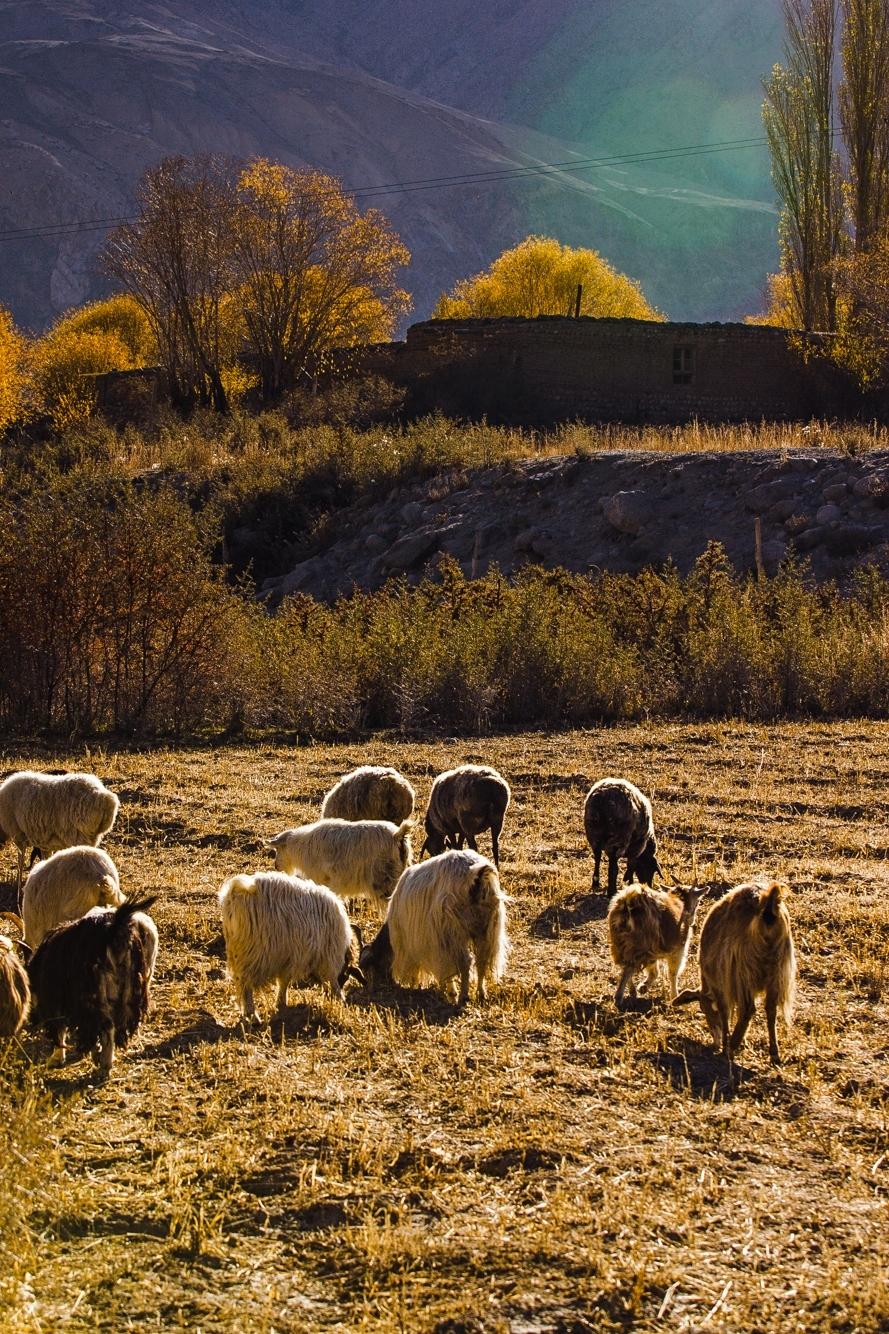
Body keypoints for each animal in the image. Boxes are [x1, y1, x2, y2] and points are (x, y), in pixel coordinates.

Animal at [0, 773, 119, 907]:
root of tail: (106, 799)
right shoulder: (43, 841)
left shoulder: (19, 836)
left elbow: (21, 860)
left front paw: (17, 883)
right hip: (90, 837)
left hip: (79, 836)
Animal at [217, 869, 363, 1013]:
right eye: (346, 975)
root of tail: (233, 892)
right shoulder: (328, 958)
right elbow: (333, 982)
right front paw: (342, 1002)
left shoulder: (287, 957)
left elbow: (284, 981)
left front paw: (281, 1002)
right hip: (252, 953)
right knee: (245, 986)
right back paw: (252, 1015)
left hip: (237, 951)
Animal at [264, 816, 413, 912]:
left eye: (277, 850)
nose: (276, 867)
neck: (301, 847)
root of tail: (397, 835)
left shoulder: (319, 877)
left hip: (383, 878)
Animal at [355, 853, 504, 1003]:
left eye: (369, 968)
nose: (373, 987)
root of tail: (477, 875)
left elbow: (446, 968)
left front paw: (451, 993)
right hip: (488, 928)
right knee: (481, 960)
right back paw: (481, 994)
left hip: (454, 931)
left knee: (466, 961)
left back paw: (464, 996)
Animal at [675, 880, 790, 1067]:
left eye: (703, 1007)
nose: (714, 1040)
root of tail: (767, 905)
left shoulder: (721, 982)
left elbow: (724, 1010)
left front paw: (725, 1043)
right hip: (777, 969)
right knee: (771, 1008)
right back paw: (774, 1054)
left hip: (743, 970)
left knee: (748, 1009)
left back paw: (731, 1045)